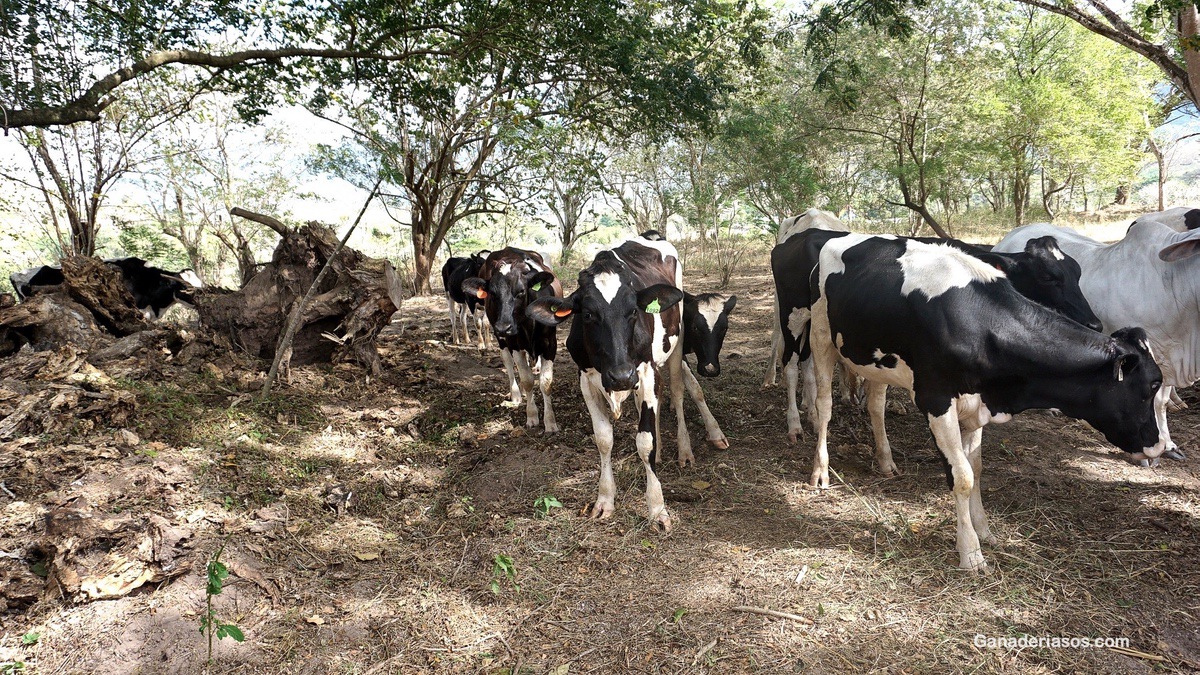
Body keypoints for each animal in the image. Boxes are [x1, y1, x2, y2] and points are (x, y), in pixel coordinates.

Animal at [463, 247, 566, 429]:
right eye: (492, 293)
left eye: (521, 291)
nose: (504, 327)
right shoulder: (516, 344)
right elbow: (527, 380)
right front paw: (532, 415)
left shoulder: (550, 343)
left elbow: (546, 382)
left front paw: (550, 421)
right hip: (503, 341)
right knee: (508, 362)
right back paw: (517, 394)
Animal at [532, 236, 729, 530]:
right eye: (587, 314)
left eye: (633, 311)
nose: (621, 376)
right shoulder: (586, 379)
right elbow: (604, 439)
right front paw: (605, 499)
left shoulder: (644, 372)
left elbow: (644, 441)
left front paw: (657, 508)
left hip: (676, 343)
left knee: (679, 391)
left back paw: (684, 450)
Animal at [787, 229, 1161, 566]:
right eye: (1151, 386)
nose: (1157, 445)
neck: (981, 324)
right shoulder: (936, 400)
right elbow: (962, 477)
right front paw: (970, 551)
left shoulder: (977, 404)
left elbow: (977, 469)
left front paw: (985, 531)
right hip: (819, 333)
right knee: (824, 405)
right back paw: (820, 469)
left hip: (879, 360)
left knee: (875, 404)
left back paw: (885, 460)